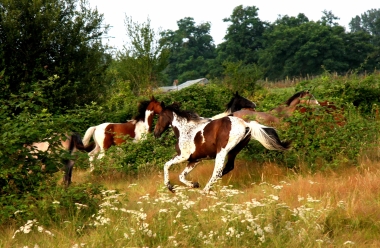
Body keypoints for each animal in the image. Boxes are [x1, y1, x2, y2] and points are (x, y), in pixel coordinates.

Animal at [153, 101, 290, 193]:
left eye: (159, 117)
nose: (155, 133)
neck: (185, 130)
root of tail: (246, 125)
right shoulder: (194, 160)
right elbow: (181, 176)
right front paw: (194, 184)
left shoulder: (183, 156)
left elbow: (166, 165)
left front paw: (170, 187)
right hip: (234, 151)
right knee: (227, 168)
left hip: (222, 152)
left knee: (217, 171)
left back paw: (205, 191)